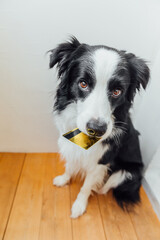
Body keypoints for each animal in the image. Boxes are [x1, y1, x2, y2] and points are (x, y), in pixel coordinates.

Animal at [48, 36, 149, 218]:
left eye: (117, 91)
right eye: (83, 83)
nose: (97, 129)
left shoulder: (101, 161)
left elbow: (86, 186)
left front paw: (79, 206)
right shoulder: (70, 146)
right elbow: (70, 165)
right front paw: (64, 179)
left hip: (127, 173)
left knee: (106, 187)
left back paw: (99, 187)